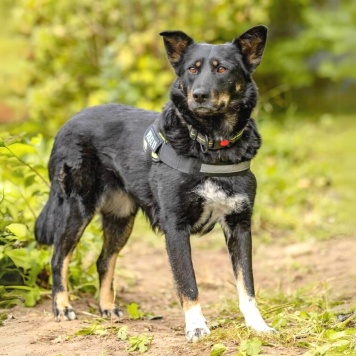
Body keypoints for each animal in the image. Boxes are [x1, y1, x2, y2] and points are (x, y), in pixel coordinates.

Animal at [35, 25, 276, 342]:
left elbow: (246, 284)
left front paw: (257, 325)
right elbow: (188, 283)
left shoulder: (240, 225)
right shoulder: (175, 226)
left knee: (103, 260)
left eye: (222, 69)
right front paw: (196, 327)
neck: (211, 144)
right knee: (58, 256)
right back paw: (62, 307)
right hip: (77, 208)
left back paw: (107, 307)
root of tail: (67, 124)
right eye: (191, 69)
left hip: (121, 217)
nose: (199, 95)